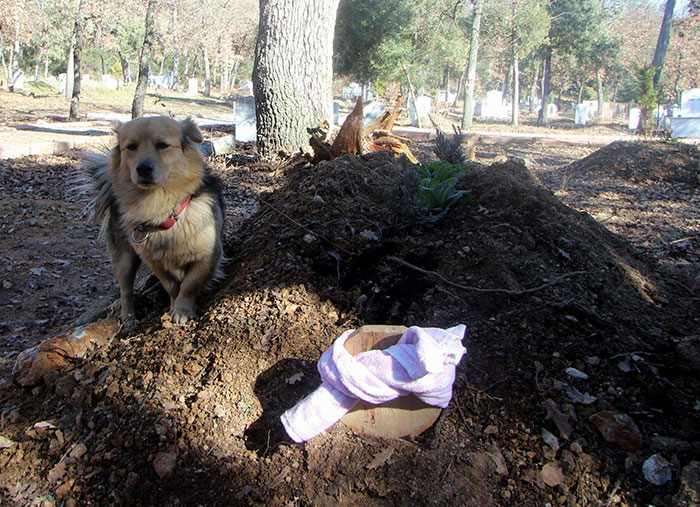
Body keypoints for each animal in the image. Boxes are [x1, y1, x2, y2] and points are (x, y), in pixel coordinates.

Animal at [82, 117, 224, 326]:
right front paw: (174, 305)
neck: (160, 207)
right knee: (125, 289)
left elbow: (189, 285)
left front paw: (182, 309)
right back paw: (128, 317)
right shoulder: (155, 262)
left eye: (163, 145)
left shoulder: (207, 256)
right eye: (131, 147)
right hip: (123, 260)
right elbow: (171, 286)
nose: (143, 168)